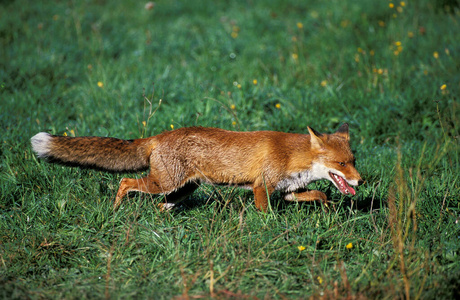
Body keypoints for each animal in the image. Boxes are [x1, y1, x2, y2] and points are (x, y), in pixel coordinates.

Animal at [31, 123, 362, 211]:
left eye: (353, 161)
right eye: (341, 164)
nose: (360, 181)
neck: (291, 156)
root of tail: (160, 136)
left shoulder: (289, 191)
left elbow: (321, 194)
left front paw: (328, 209)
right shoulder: (262, 188)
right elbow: (266, 215)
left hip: (180, 191)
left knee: (160, 205)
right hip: (164, 184)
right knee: (125, 183)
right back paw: (114, 211)